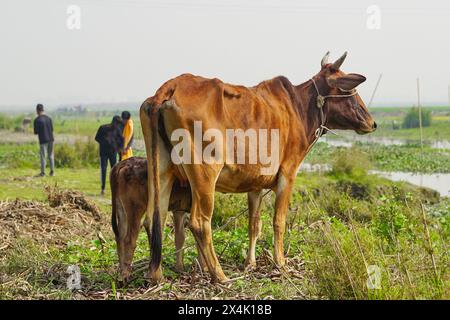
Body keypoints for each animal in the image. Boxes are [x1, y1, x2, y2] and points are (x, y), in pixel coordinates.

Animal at [141, 50, 376, 282]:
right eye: (350, 89)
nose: (372, 123)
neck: (299, 107)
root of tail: (170, 87)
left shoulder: (255, 184)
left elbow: (254, 224)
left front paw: (250, 263)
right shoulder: (288, 174)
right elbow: (278, 221)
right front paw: (280, 262)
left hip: (161, 170)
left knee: (155, 218)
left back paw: (156, 275)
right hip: (205, 173)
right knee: (199, 222)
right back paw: (219, 275)